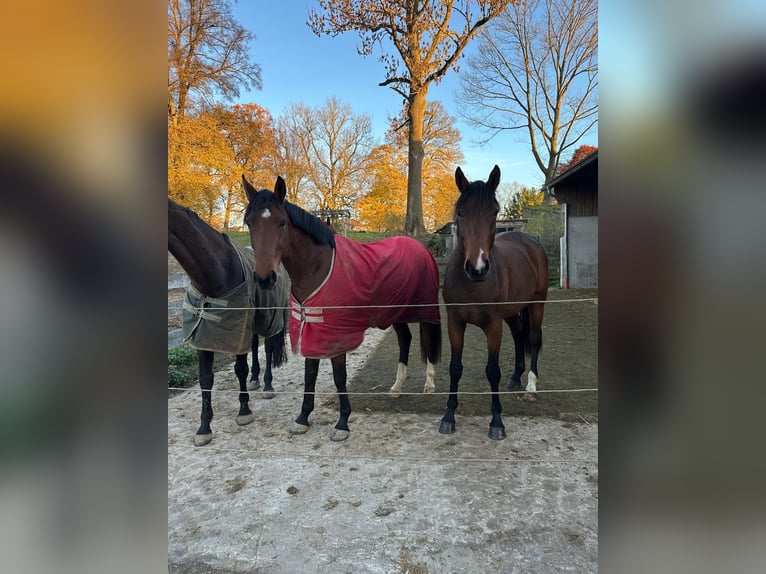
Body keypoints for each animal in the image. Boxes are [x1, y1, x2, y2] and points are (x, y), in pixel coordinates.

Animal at [168, 198, 289, 446]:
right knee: (255, 346)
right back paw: (255, 380)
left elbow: (240, 369)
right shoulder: (204, 336)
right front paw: (204, 427)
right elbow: (206, 379)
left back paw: (267, 384)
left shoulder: (237, 332)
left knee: (269, 347)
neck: (216, 275)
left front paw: (244, 411)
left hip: (272, 316)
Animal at [242, 175, 442, 441]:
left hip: (424, 310)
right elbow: (310, 375)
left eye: (281, 222)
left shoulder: (337, 335)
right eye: (249, 223)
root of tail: (422, 249)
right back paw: (397, 387)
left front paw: (342, 423)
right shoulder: (314, 329)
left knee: (428, 341)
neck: (318, 268)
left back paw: (429, 385)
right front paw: (303, 418)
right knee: (405, 340)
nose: (265, 278)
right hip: (395, 312)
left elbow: (339, 378)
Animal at [439, 166, 548, 440]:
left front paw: (497, 421)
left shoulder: (493, 326)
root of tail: (531, 242)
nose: (477, 268)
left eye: (495, 211)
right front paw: (448, 416)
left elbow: (492, 370)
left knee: (533, 338)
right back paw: (516, 377)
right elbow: (455, 367)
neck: (472, 284)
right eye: (461, 212)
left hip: (537, 303)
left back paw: (530, 386)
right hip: (512, 312)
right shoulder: (455, 323)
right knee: (519, 334)